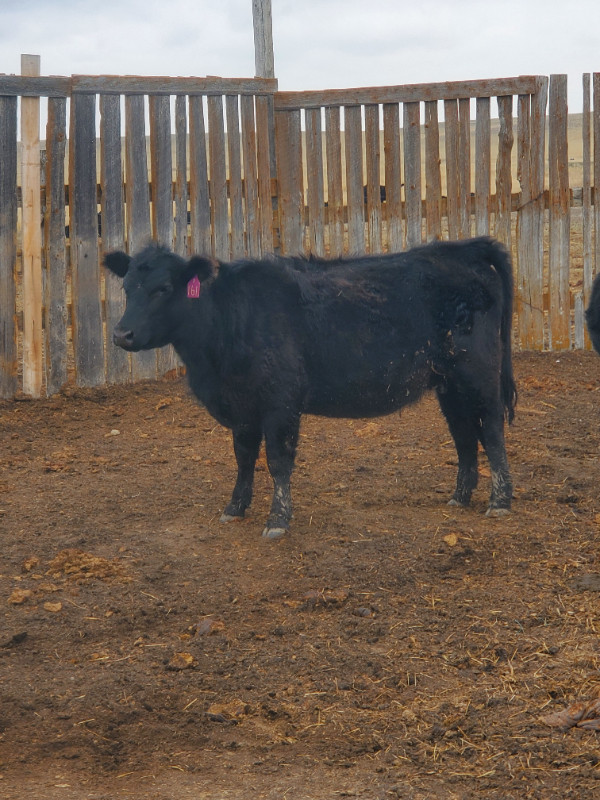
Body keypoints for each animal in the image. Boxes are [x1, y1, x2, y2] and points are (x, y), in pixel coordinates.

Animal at [103, 238, 516, 536]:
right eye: (127, 287)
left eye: (163, 288)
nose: (121, 334)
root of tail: (461, 247)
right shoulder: (242, 407)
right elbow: (244, 458)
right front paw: (235, 508)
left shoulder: (280, 403)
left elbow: (277, 462)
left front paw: (277, 520)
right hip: (449, 384)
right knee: (464, 436)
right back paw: (459, 497)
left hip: (478, 375)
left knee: (492, 432)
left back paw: (499, 501)